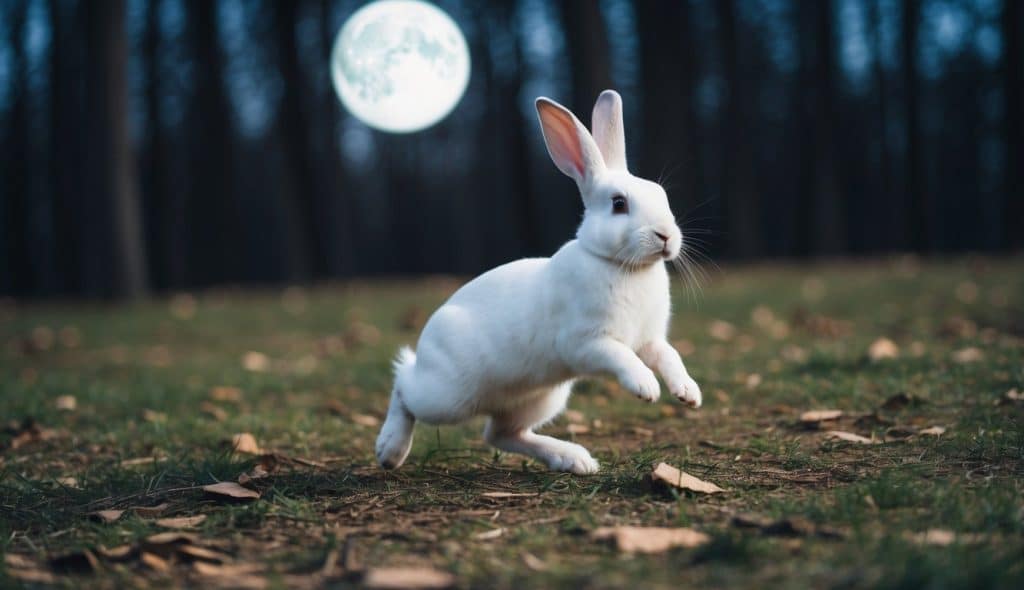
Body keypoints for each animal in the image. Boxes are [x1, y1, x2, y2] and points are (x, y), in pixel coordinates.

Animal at [375, 90, 702, 474]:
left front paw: (689, 394)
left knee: (501, 434)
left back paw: (575, 460)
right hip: (447, 396)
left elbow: (670, 355)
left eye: (662, 195)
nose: (666, 236)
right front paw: (646, 388)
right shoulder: (586, 342)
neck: (622, 265)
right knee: (404, 386)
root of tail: (427, 340)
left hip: (539, 398)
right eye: (619, 204)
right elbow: (622, 357)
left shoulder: (649, 340)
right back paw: (389, 450)